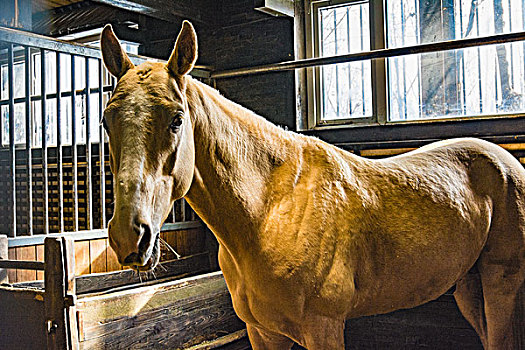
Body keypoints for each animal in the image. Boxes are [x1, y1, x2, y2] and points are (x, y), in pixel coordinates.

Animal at [101, 22, 524, 350]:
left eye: (177, 119)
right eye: (107, 120)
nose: (129, 236)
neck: (270, 211)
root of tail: (507, 163)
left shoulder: (323, 328)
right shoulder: (262, 333)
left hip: (502, 286)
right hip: (469, 286)